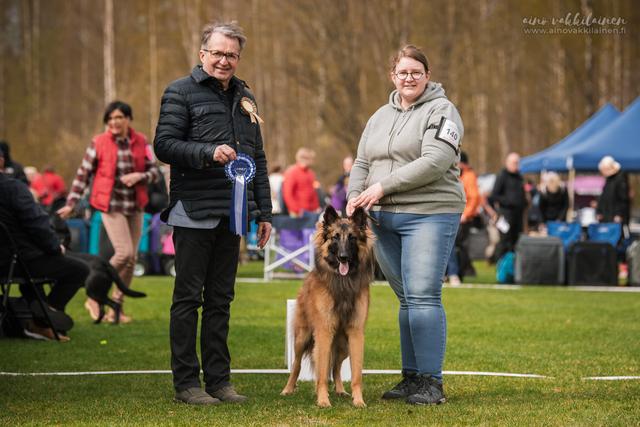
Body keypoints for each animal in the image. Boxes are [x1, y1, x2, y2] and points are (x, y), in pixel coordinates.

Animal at [280, 206, 376, 408]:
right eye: (335, 237)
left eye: (352, 238)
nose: (343, 257)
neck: (343, 283)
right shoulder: (324, 332)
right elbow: (322, 372)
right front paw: (323, 400)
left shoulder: (355, 333)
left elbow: (356, 374)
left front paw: (358, 400)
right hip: (303, 338)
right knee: (297, 365)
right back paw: (288, 389)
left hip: (343, 345)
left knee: (336, 366)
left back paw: (340, 389)